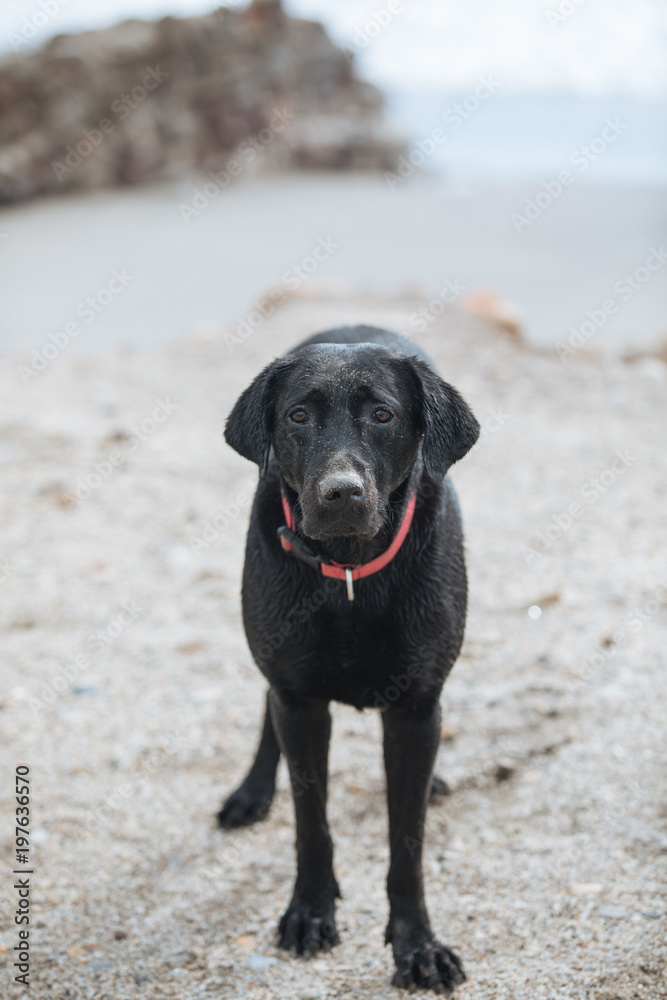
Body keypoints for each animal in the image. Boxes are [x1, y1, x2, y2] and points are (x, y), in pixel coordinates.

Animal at [219, 324, 480, 988]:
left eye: (383, 415)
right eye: (298, 416)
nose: (341, 494)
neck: (349, 575)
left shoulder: (416, 710)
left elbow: (407, 841)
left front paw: (417, 946)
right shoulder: (300, 701)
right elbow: (311, 822)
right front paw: (310, 912)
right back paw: (252, 791)